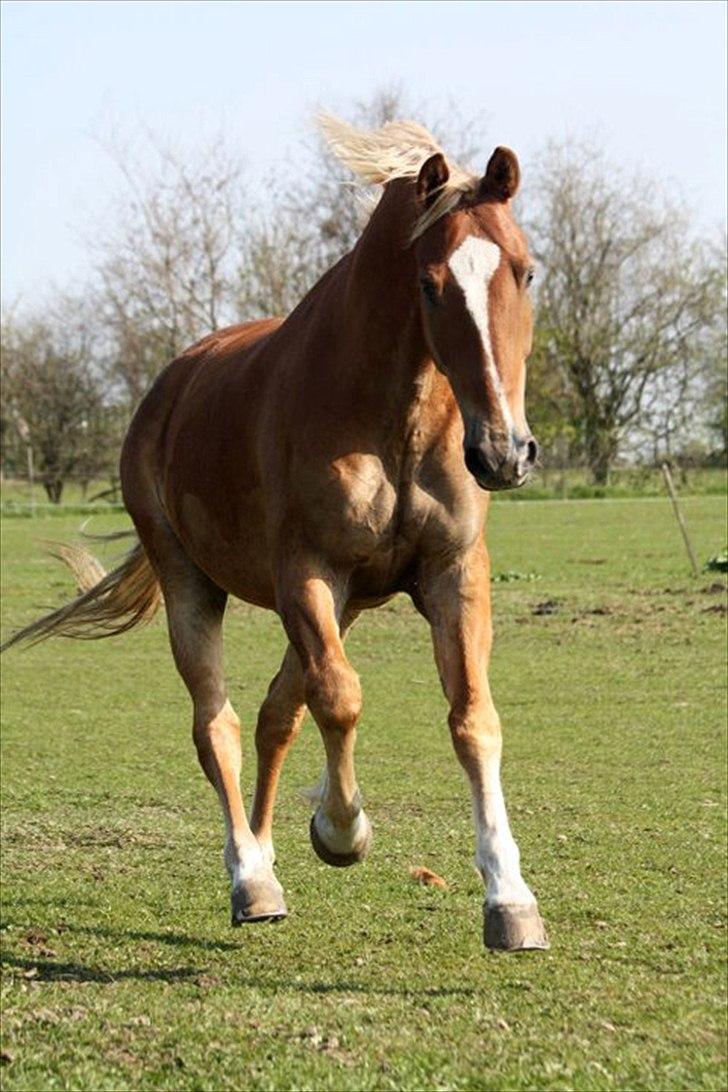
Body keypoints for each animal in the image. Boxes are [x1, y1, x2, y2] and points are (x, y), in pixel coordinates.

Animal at [2, 117, 550, 947]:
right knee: (220, 725)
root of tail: (171, 384)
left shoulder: (452, 574)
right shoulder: (308, 574)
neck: (393, 420)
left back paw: (264, 853)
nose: (502, 452)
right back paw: (251, 877)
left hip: (345, 602)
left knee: (273, 713)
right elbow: (341, 699)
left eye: (523, 273)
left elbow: (472, 720)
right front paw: (342, 830)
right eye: (430, 284)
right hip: (195, 586)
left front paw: (510, 900)